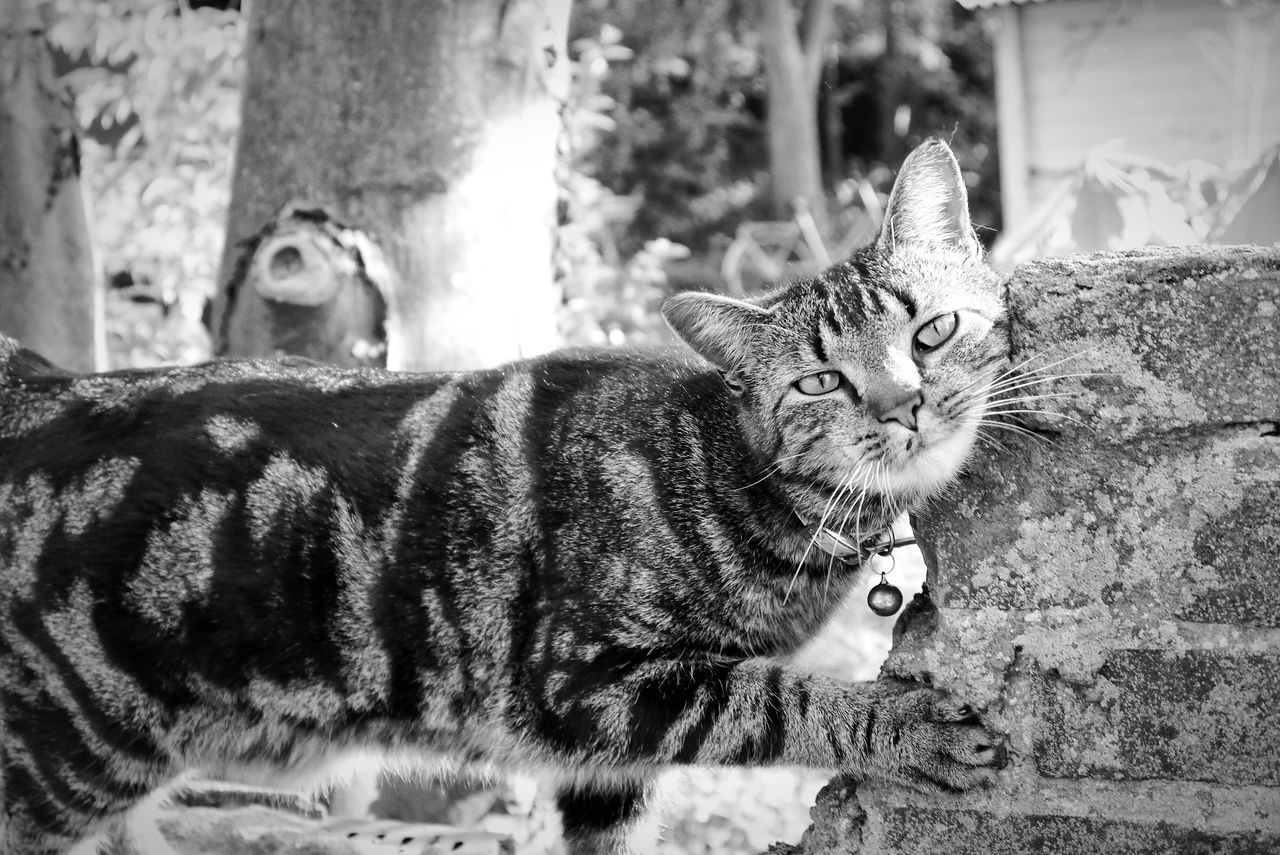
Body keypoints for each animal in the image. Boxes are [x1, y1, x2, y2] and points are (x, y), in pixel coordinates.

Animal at [0, 136, 1008, 849]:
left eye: (932, 331)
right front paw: (902, 724)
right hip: (53, 775)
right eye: (820, 383)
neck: (736, 483)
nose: (903, 403)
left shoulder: (606, 761)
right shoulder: (591, 682)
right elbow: (786, 700)